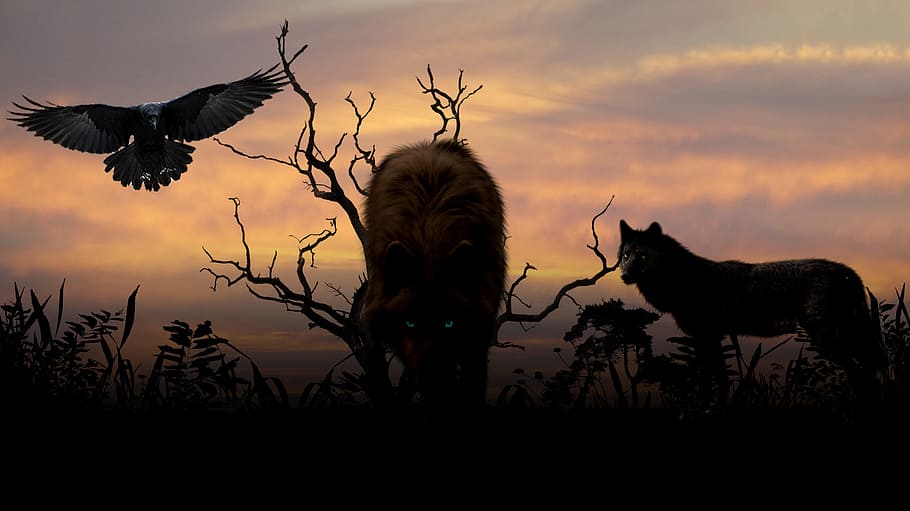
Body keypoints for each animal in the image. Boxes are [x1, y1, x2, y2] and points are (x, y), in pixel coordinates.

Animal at [362, 140, 506, 407]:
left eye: (448, 323)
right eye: (409, 322)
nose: (431, 382)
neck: (428, 239)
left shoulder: (479, 334)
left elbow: (472, 383)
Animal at [617, 220, 886, 393]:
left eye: (641, 256)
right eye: (626, 256)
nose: (624, 276)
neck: (684, 280)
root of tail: (850, 273)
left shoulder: (707, 337)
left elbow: (711, 381)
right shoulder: (710, 337)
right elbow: (719, 379)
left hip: (828, 340)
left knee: (863, 377)